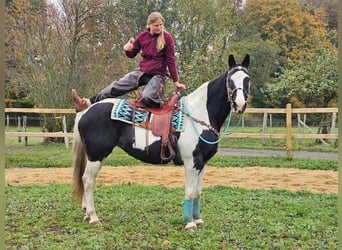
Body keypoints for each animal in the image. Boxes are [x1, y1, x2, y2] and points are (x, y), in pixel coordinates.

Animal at [71, 54, 251, 230]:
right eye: (230, 80)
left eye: (247, 79)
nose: (239, 104)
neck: (199, 113)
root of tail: (85, 111)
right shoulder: (191, 162)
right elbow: (190, 191)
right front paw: (189, 223)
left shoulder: (203, 163)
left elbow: (198, 191)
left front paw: (198, 220)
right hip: (96, 155)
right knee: (88, 180)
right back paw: (94, 217)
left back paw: (87, 213)